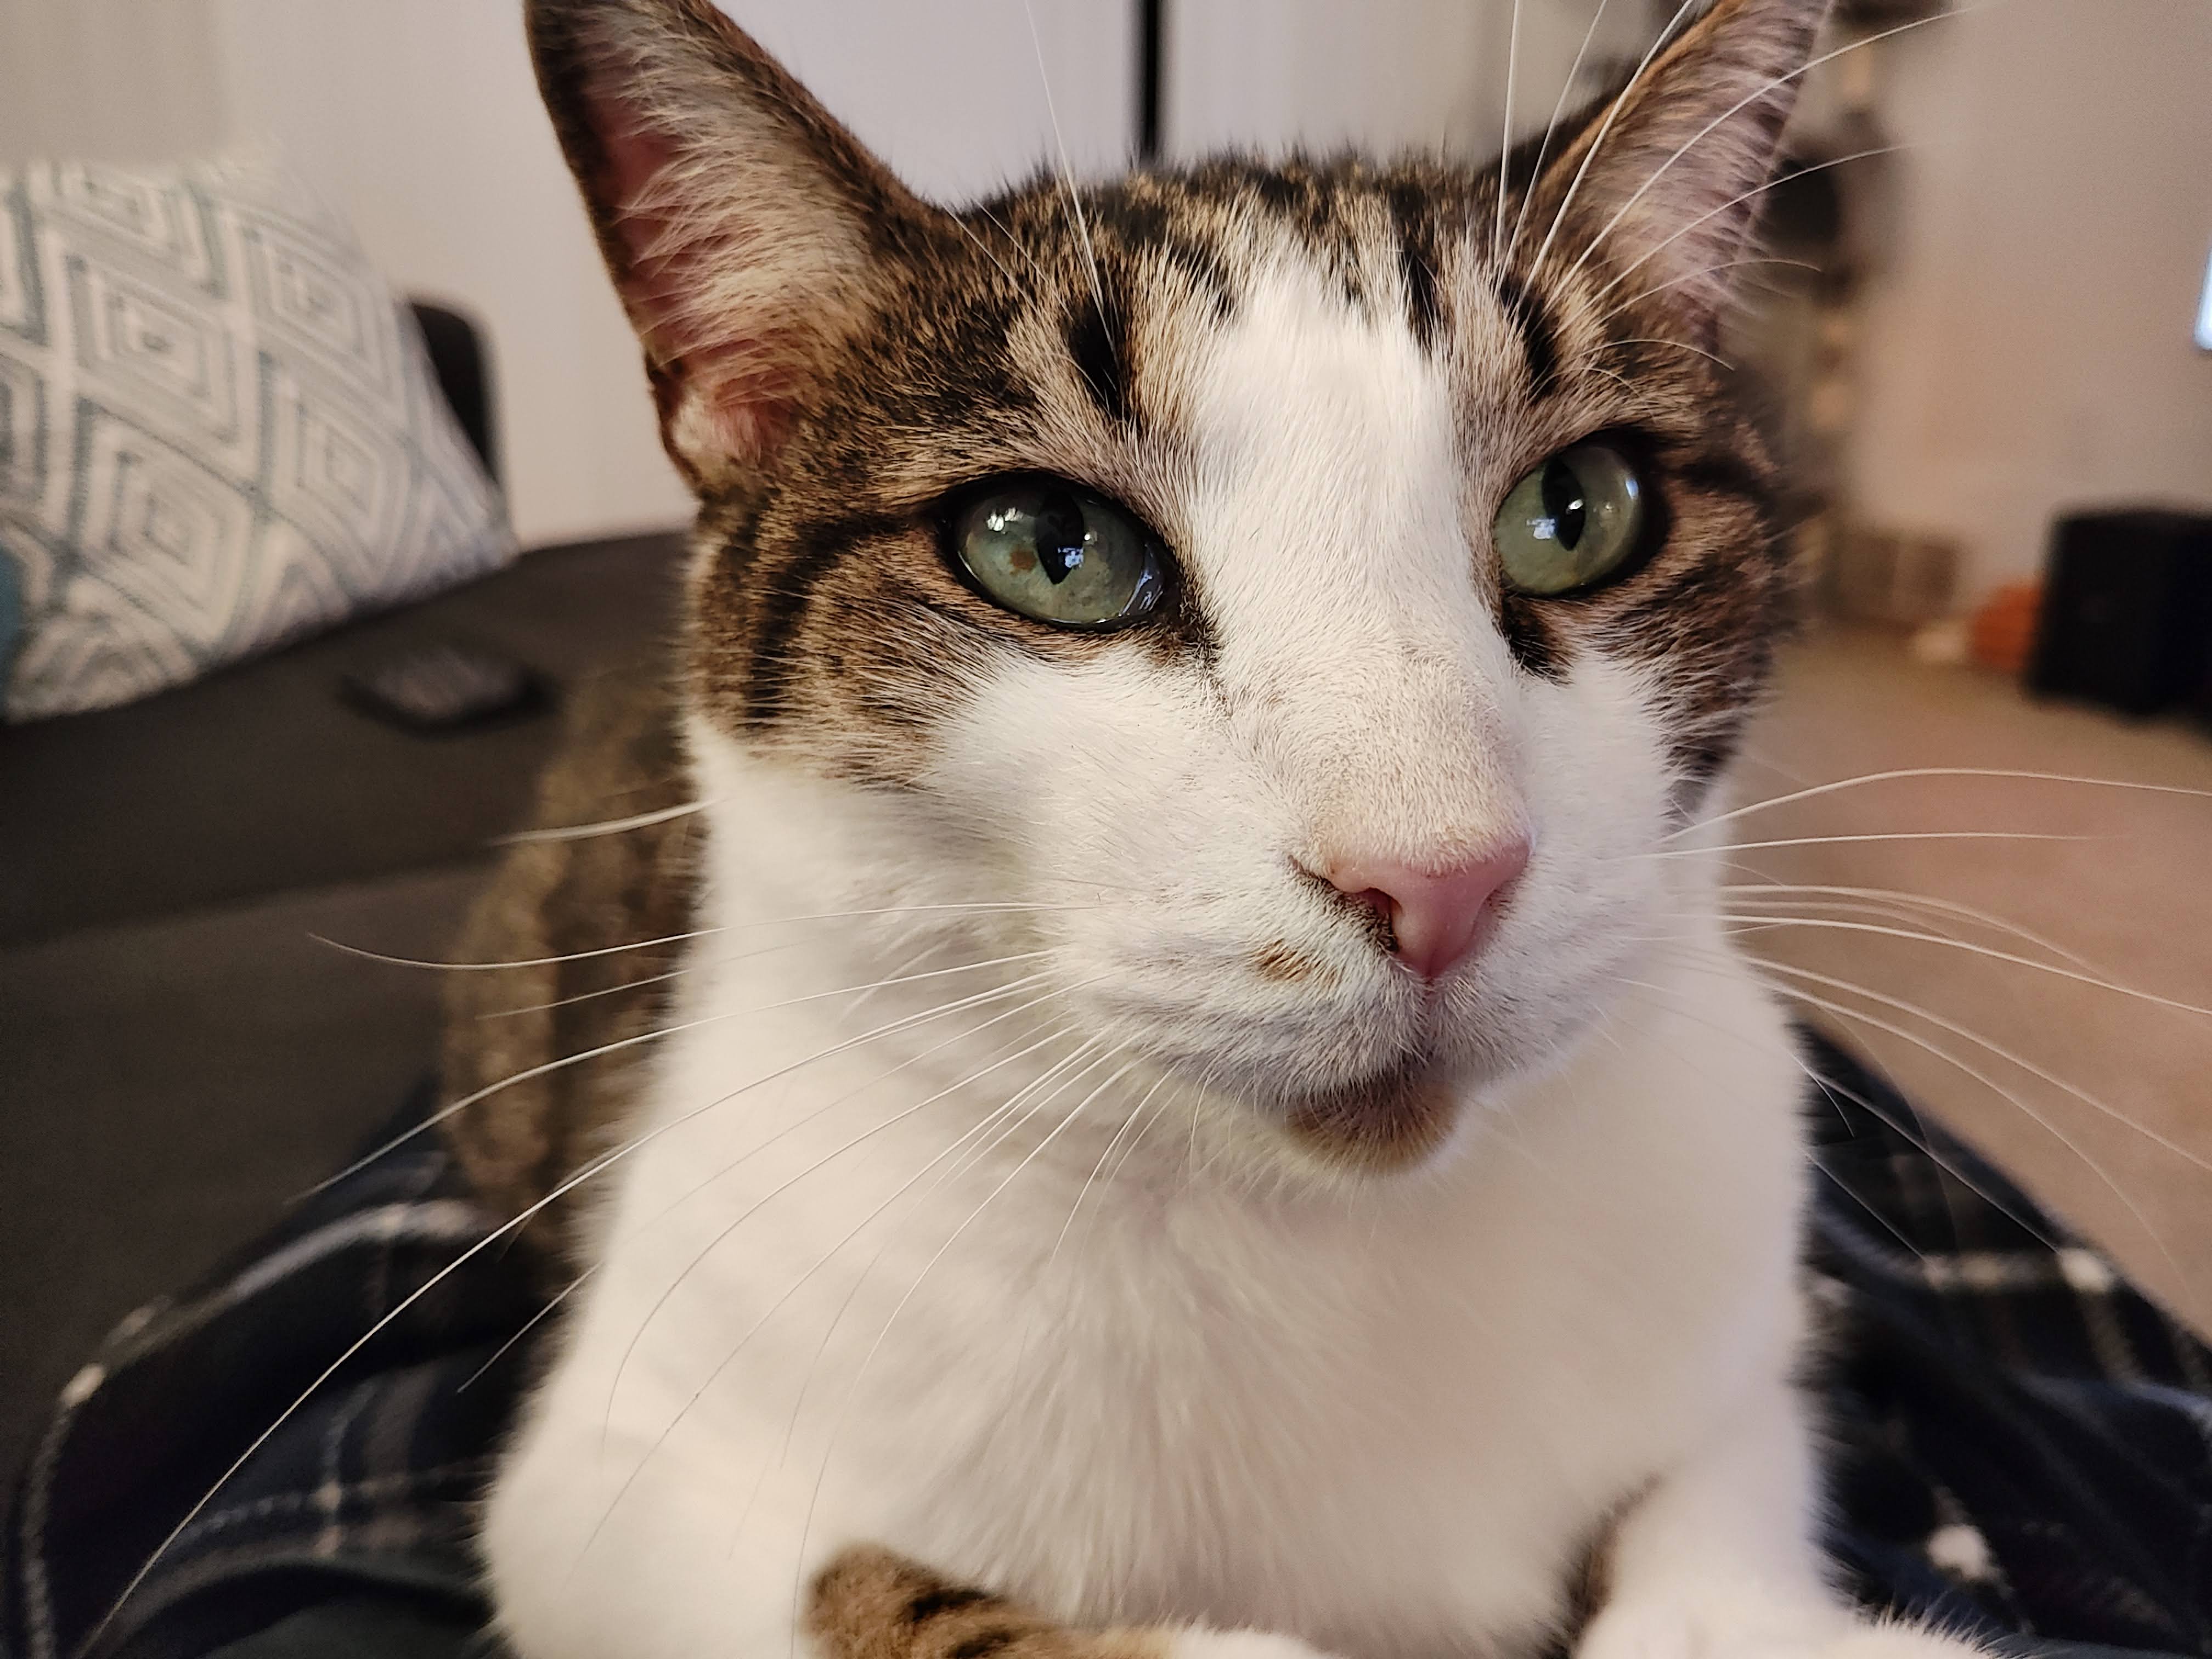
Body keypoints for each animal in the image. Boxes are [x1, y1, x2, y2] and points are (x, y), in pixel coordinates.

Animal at [440, 3, 1982, 1659]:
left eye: (1580, 510)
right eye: (1052, 550)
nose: (1438, 878)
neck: (1318, 1231)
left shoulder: (1745, 1331)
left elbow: (1712, 1523)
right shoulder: (613, 1474)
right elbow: (907, 1599)